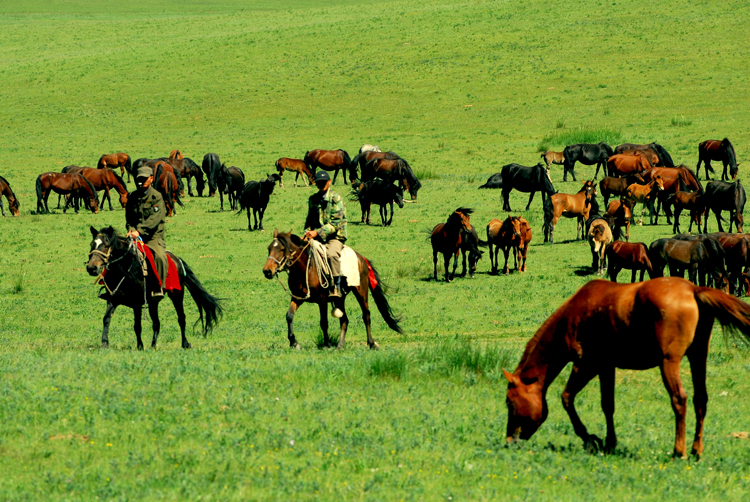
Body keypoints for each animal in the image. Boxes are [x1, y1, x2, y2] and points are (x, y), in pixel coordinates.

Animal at [86, 226, 223, 350]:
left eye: (106, 245)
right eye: (92, 244)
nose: (91, 268)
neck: (125, 268)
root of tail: (176, 259)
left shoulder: (136, 303)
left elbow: (137, 325)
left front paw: (140, 346)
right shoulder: (113, 299)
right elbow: (106, 319)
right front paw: (104, 343)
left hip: (177, 295)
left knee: (181, 318)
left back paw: (184, 343)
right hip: (153, 302)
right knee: (157, 323)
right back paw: (153, 345)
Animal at [264, 228, 406, 350]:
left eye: (282, 249)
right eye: (269, 248)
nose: (267, 271)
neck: (306, 269)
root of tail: (362, 258)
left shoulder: (322, 300)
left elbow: (324, 322)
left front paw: (326, 345)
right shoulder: (298, 297)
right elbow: (289, 316)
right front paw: (294, 342)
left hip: (361, 291)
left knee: (366, 315)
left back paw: (371, 343)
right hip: (339, 299)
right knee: (344, 320)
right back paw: (340, 346)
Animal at [502, 278, 750, 458]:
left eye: (510, 403)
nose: (509, 441)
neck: (573, 314)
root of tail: (693, 289)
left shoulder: (586, 365)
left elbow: (567, 398)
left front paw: (590, 440)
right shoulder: (606, 367)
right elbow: (607, 405)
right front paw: (609, 443)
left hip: (669, 363)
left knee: (680, 399)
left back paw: (678, 451)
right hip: (698, 357)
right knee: (701, 399)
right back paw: (696, 450)